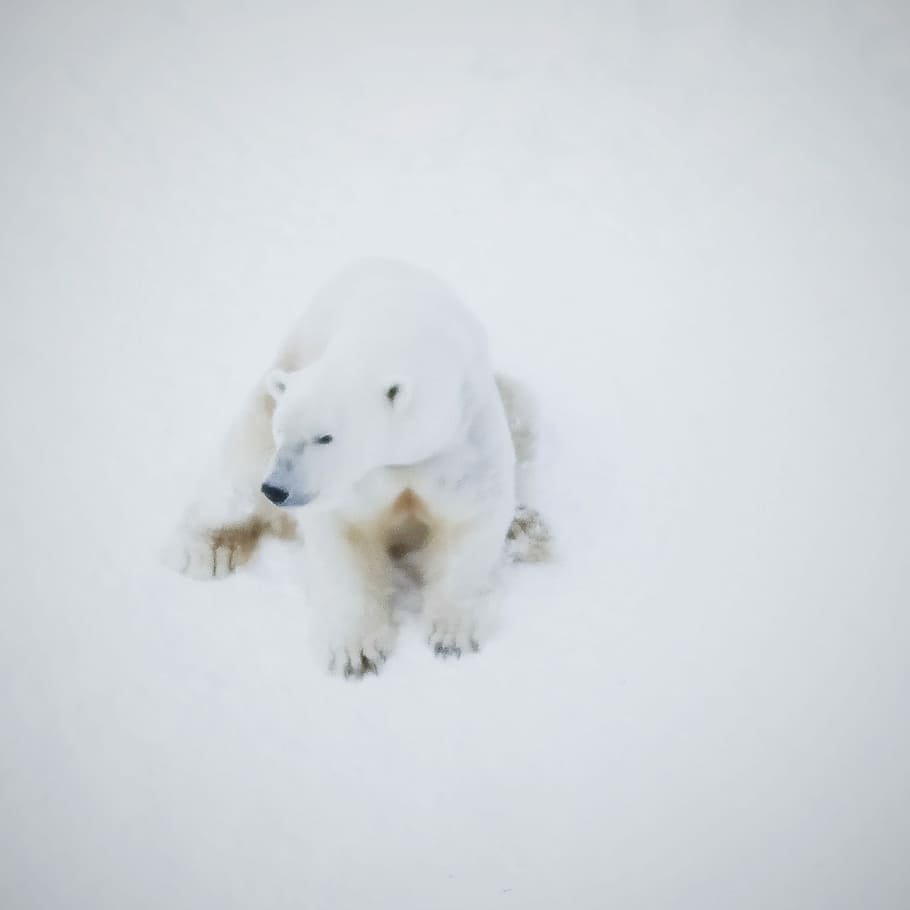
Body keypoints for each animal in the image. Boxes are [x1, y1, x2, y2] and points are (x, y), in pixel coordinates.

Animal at [166, 260, 548, 677]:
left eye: (325, 437)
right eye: (283, 430)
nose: (278, 490)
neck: (402, 330)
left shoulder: (460, 441)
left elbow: (471, 520)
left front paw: (451, 636)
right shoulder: (348, 479)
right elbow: (343, 537)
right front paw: (355, 653)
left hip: (510, 399)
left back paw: (528, 530)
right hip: (265, 399)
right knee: (237, 472)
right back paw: (210, 550)